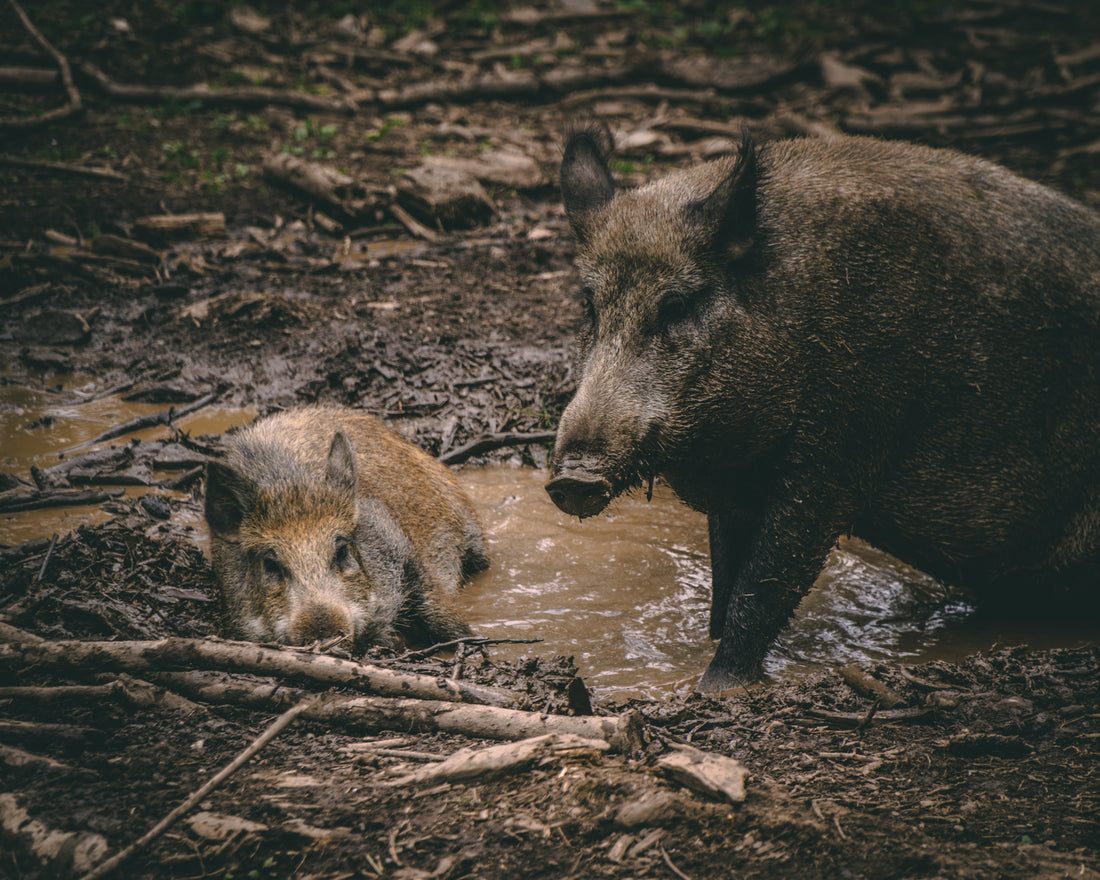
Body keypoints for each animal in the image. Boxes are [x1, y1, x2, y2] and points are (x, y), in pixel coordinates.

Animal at [205, 405, 488, 650]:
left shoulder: (407, 556)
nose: (325, 634)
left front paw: (474, 640)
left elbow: (446, 618)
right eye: (271, 563)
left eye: (341, 550)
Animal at [545, 124, 1100, 690]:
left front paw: (714, 687)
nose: (572, 478)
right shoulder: (737, 483)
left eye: (676, 305)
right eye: (590, 305)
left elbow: (765, 583)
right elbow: (726, 580)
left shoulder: (845, 446)